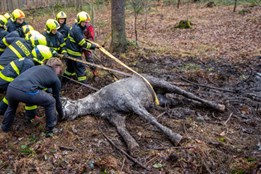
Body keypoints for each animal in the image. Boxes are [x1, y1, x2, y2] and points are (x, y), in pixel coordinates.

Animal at [61, 75, 223, 152]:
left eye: (62, 101)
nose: (61, 115)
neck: (98, 102)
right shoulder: (116, 118)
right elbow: (122, 130)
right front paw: (132, 145)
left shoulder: (133, 104)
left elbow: (151, 120)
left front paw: (174, 136)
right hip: (164, 100)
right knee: (181, 101)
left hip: (166, 85)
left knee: (190, 95)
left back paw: (219, 106)